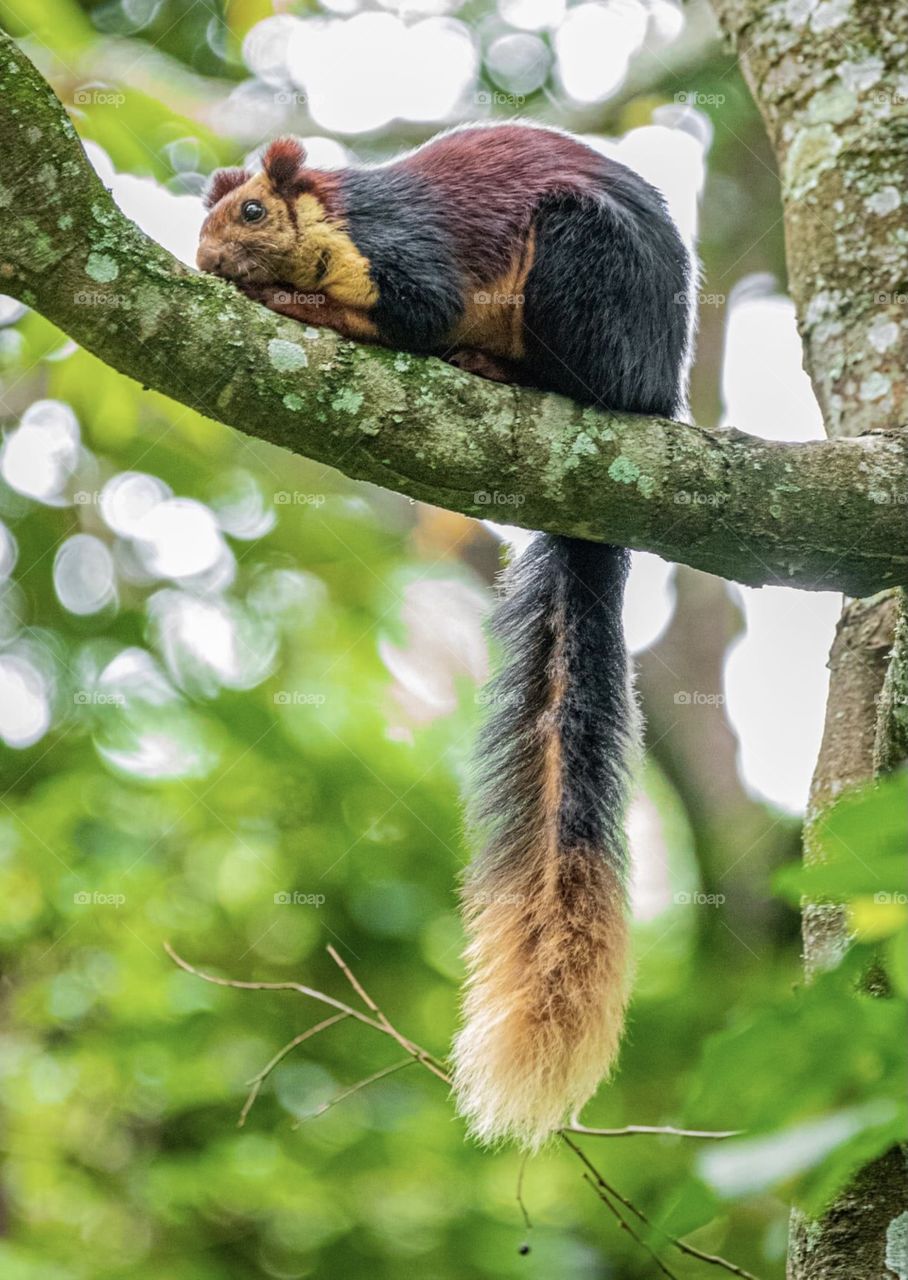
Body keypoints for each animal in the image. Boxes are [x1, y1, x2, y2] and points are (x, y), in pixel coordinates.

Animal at [198, 123, 694, 1150]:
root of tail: (660, 390)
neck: (335, 216)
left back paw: (511, 370)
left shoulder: (405, 253)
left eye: (252, 212)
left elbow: (412, 317)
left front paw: (294, 301)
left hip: (586, 267)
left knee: (585, 382)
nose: (205, 260)